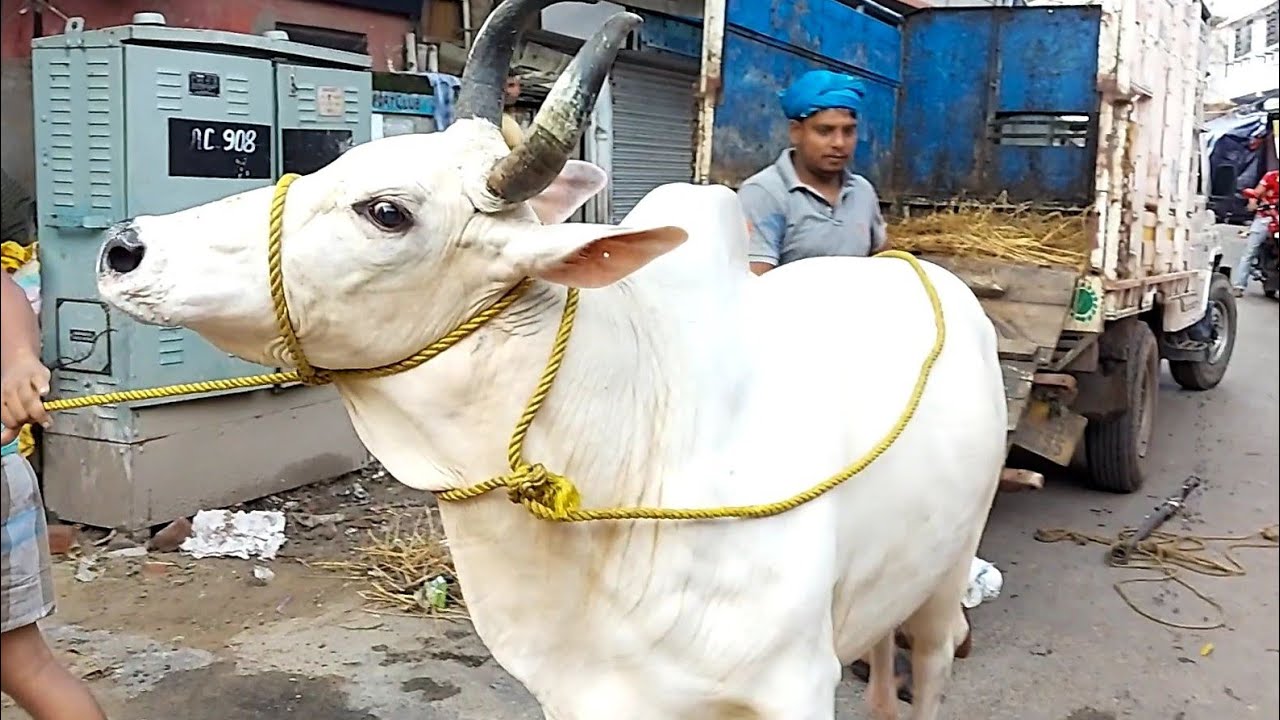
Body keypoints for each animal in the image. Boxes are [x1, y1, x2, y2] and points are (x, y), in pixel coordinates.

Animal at [94, 2, 1007, 718]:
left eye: (386, 212)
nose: (125, 248)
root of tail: (919, 269)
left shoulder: (791, 689)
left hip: (944, 578)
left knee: (927, 662)